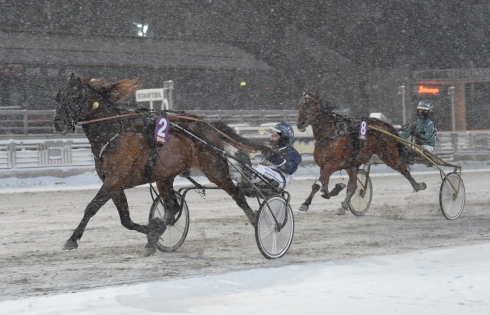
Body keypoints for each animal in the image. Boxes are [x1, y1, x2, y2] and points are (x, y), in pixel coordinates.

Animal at [54, 74, 270, 256]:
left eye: (75, 97)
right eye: (58, 97)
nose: (58, 123)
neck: (114, 133)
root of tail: (206, 125)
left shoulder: (115, 180)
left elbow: (92, 207)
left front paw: (72, 240)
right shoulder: (113, 183)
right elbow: (125, 220)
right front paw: (153, 230)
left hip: (215, 168)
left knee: (238, 195)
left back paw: (260, 222)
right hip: (164, 177)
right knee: (173, 207)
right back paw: (155, 238)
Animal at [294, 91, 424, 215]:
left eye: (312, 105)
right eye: (299, 105)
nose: (300, 124)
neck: (330, 135)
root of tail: (384, 125)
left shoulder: (333, 164)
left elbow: (319, 184)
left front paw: (307, 203)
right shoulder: (323, 165)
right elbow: (322, 186)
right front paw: (310, 201)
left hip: (388, 156)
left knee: (403, 169)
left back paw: (418, 185)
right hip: (353, 164)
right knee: (353, 186)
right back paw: (344, 205)